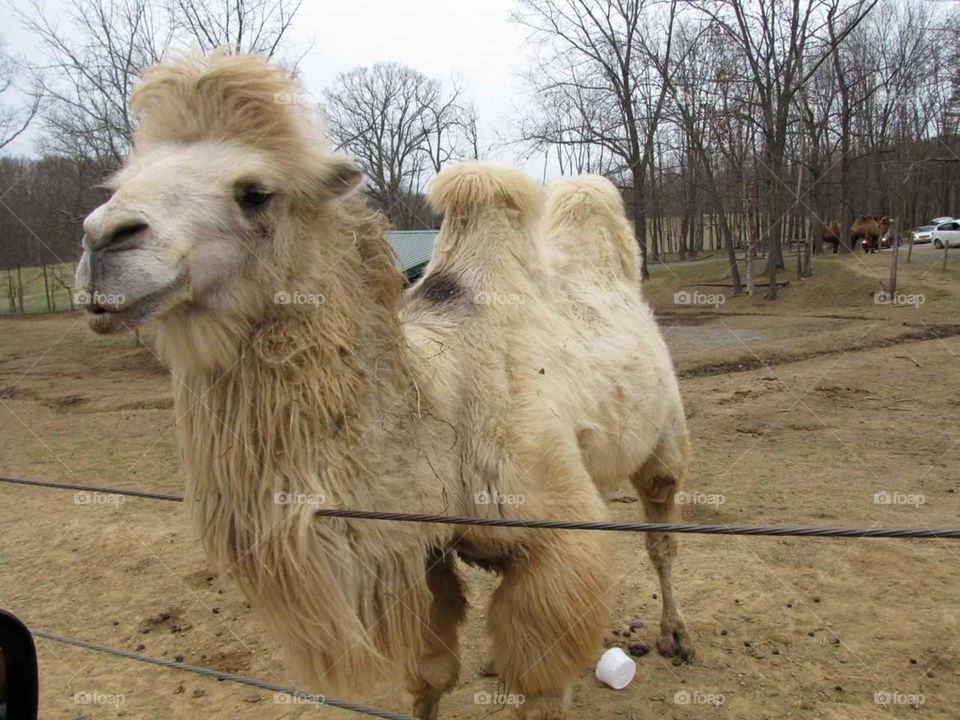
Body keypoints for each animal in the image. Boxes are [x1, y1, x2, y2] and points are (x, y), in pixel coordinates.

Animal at [73, 53, 688, 716]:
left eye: (256, 192)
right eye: (117, 183)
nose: (102, 241)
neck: (435, 407)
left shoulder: (558, 542)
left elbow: (543, 684)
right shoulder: (420, 548)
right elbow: (430, 674)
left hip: (665, 434)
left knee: (661, 532)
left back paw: (675, 635)